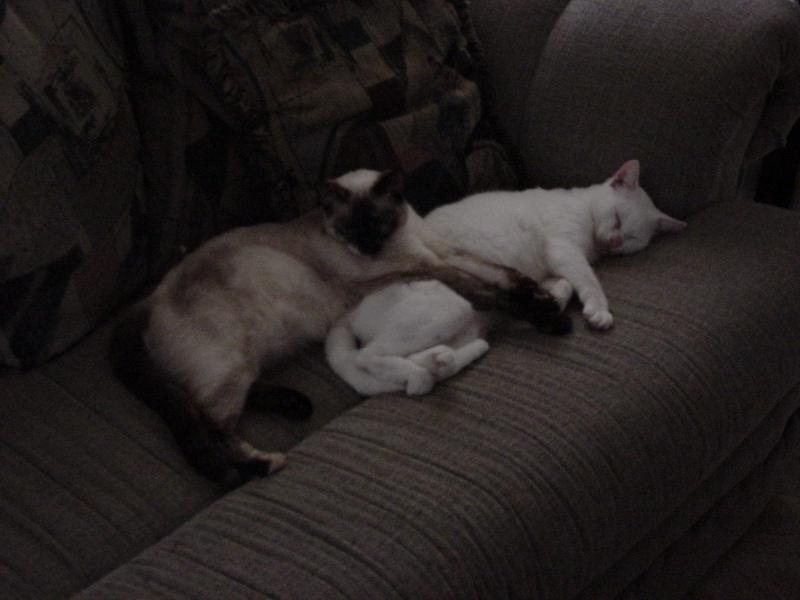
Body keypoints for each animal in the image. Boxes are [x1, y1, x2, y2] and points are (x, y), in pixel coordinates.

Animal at [110, 168, 569, 485]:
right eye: (350, 229)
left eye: (378, 223)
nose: (367, 248)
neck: (405, 241)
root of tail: (144, 300)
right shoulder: (428, 268)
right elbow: (490, 293)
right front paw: (549, 318)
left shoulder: (443, 254)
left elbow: (504, 274)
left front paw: (539, 295)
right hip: (230, 364)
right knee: (209, 420)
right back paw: (263, 463)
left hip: (248, 360)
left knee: (217, 401)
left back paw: (296, 405)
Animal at [326, 160, 686, 396]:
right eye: (618, 219)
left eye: (633, 240)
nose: (614, 242)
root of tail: (350, 309)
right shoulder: (564, 247)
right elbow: (587, 279)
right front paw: (598, 310)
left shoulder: (554, 265)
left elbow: (564, 283)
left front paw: (552, 297)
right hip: (448, 307)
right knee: (367, 357)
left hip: (462, 325)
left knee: (406, 370)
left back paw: (439, 361)